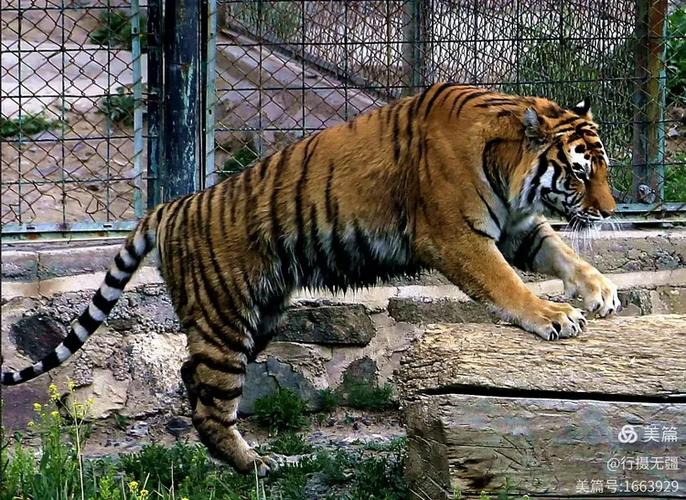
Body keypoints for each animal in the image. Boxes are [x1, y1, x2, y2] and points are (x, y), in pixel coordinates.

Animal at [1, 83, 621, 475]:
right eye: (579, 173)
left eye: (604, 169)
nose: (611, 212)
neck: (506, 162)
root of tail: (171, 206)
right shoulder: (457, 237)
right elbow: (508, 284)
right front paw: (554, 316)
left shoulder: (517, 227)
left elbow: (564, 253)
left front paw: (600, 291)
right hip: (226, 320)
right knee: (210, 404)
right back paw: (259, 467)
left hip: (258, 318)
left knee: (189, 376)